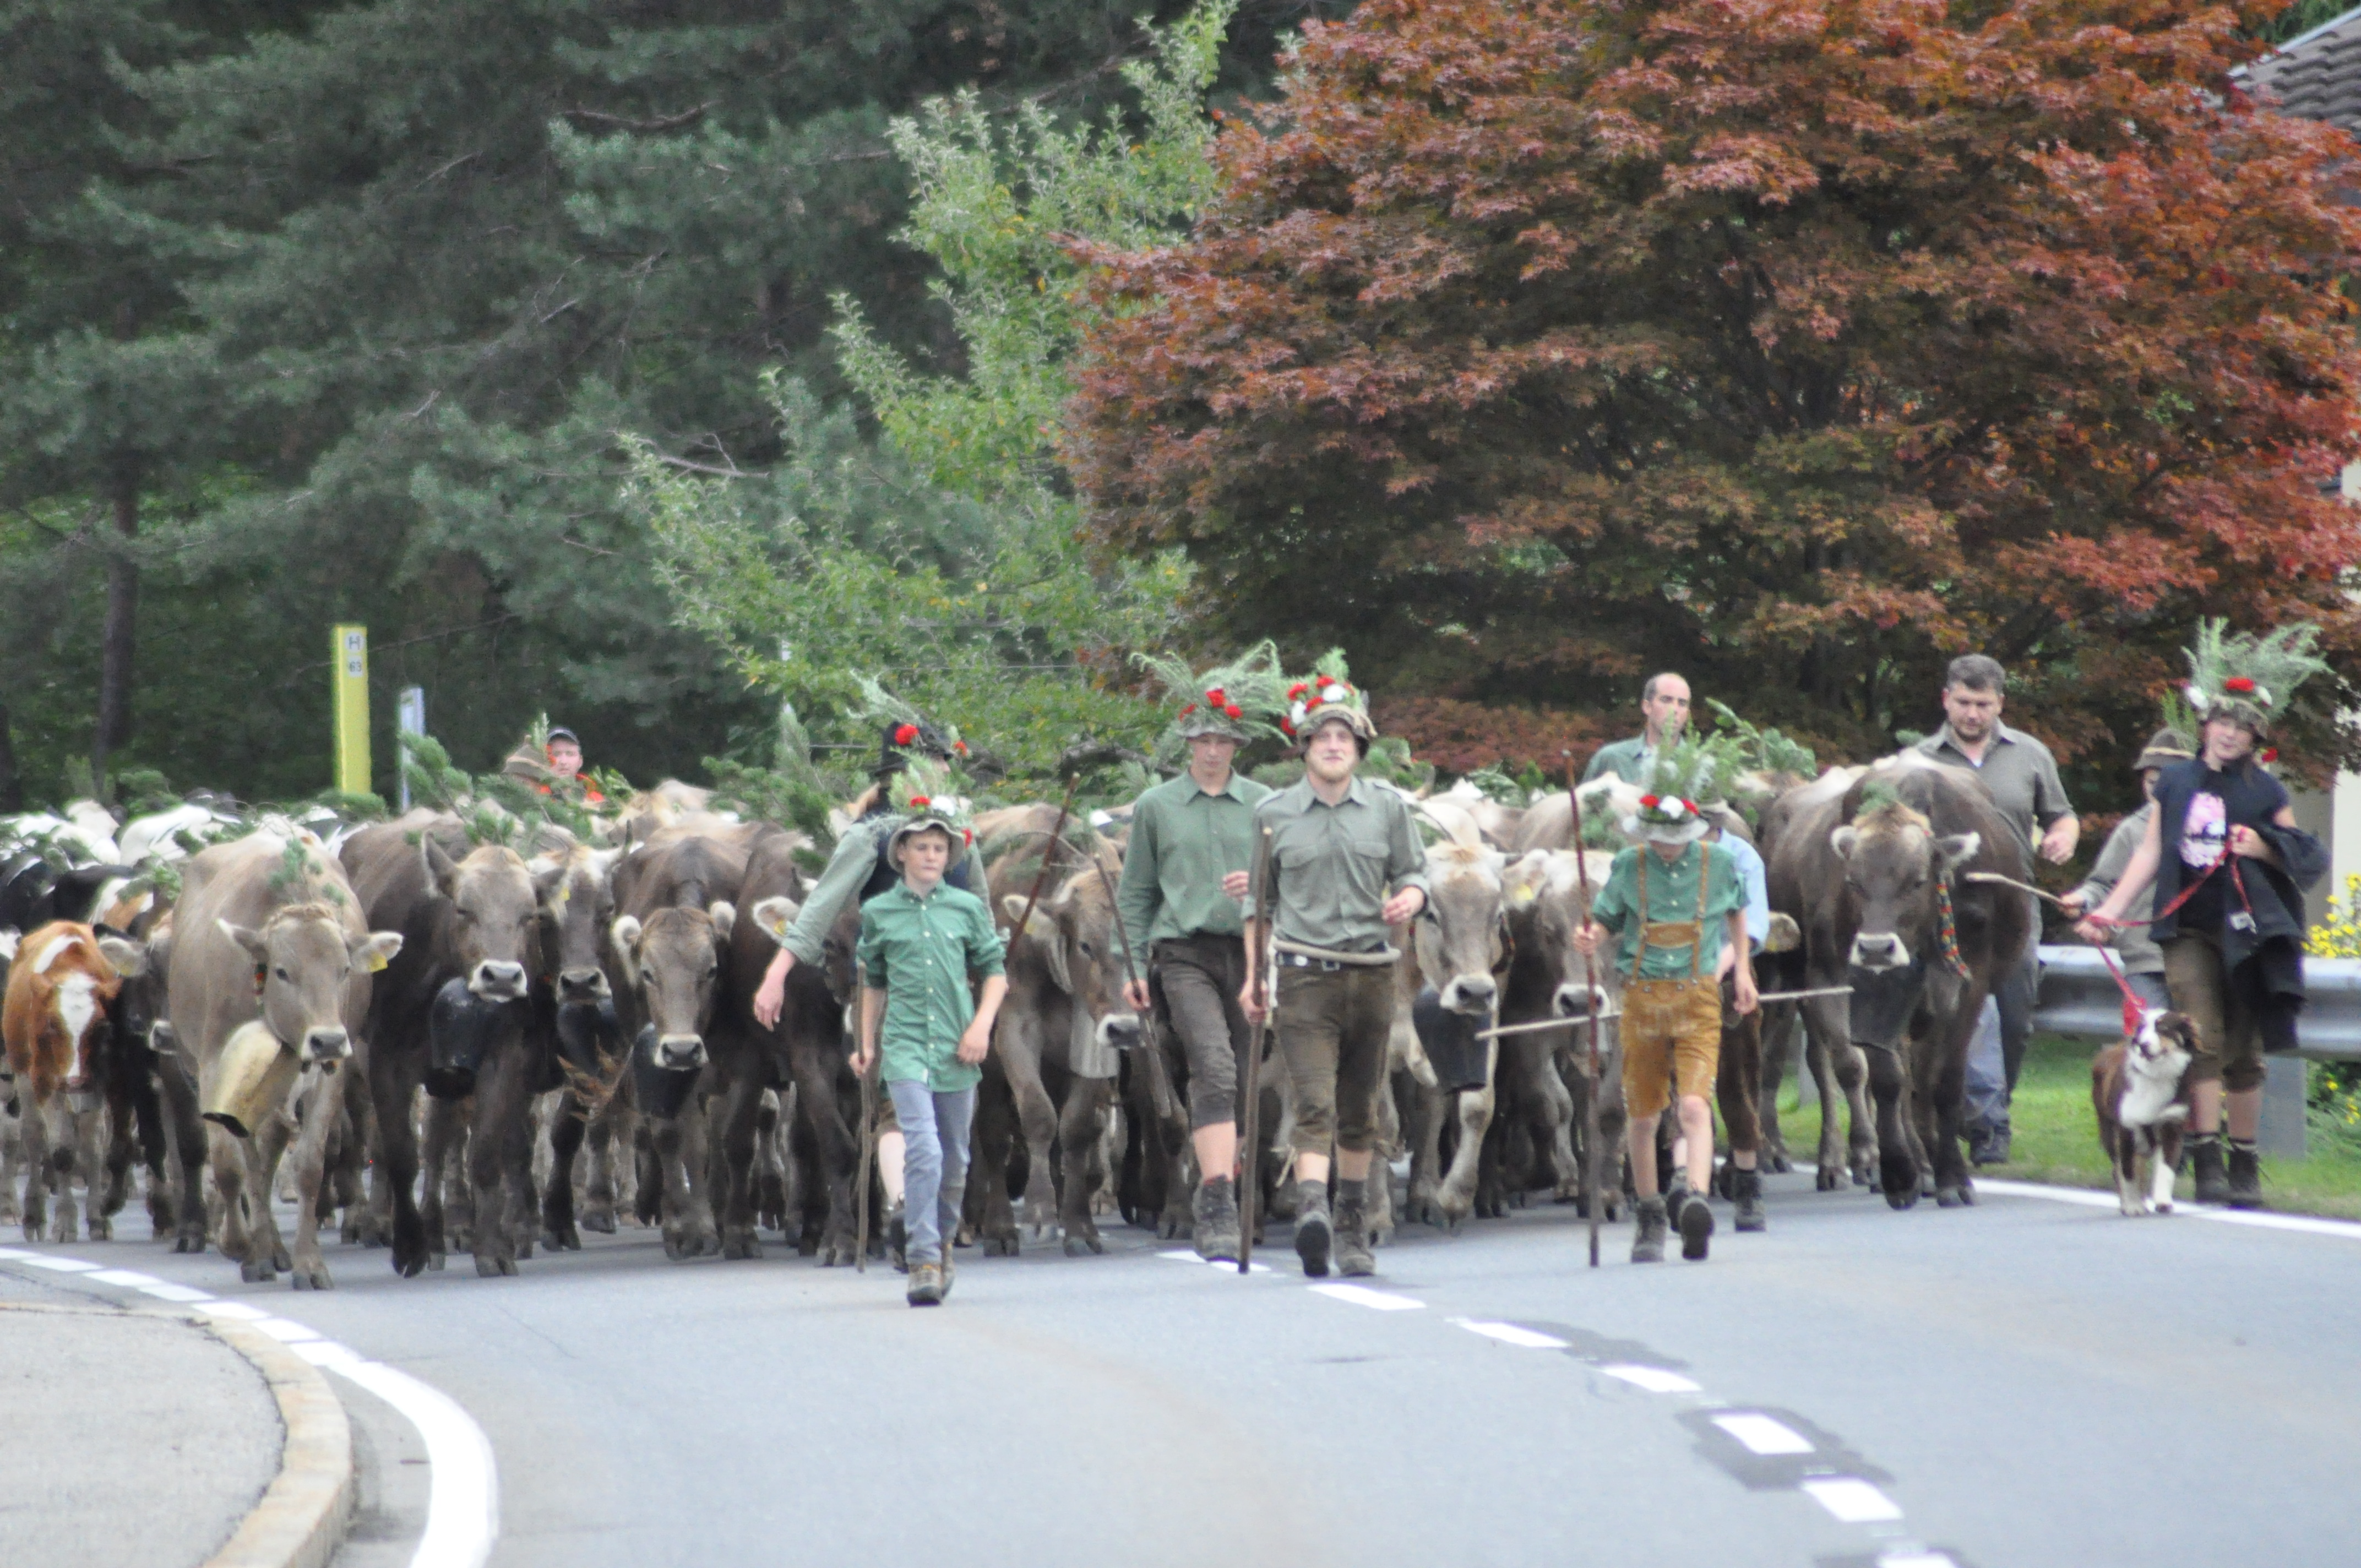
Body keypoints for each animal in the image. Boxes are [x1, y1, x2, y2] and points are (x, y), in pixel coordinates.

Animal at [2, 921, 149, 1242]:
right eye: (52, 1026)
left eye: (101, 1027)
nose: (74, 1079)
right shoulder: (46, 1081)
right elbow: (62, 1151)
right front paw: (65, 1221)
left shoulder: (105, 1079)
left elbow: (96, 1146)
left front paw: (98, 1218)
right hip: (23, 1077)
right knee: (33, 1136)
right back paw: (33, 1214)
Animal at [168, 832, 402, 1287]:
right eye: (282, 971)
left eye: (345, 970)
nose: (328, 1040)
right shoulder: (214, 1069)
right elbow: (232, 1166)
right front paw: (242, 1247)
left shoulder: (329, 1076)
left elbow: (307, 1164)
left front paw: (309, 1264)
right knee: (251, 1161)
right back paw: (260, 1248)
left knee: (270, 1150)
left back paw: (275, 1248)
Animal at [343, 812, 539, 1277]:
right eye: (465, 909)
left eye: (529, 914)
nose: (502, 977)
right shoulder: (385, 1061)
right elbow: (399, 1153)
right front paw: (409, 1247)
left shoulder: (500, 1060)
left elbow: (482, 1153)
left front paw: (493, 1249)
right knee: (367, 1141)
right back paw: (376, 1223)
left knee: (438, 1143)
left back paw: (440, 1231)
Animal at [1767, 758, 2030, 1209]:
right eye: (1853, 881)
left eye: (1918, 880)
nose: (1876, 948)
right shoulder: (1835, 979)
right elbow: (1874, 1075)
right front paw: (1895, 1170)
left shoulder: (1969, 984)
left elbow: (1943, 1082)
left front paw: (1951, 1178)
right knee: (1829, 1065)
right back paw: (1846, 1161)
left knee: (1917, 1077)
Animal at [2091, 1009, 2199, 1217]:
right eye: (2141, 1029)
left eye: (2163, 1028)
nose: (2143, 1045)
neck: (2156, 1076)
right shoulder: (2126, 1129)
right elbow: (2128, 1173)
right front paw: (2133, 1206)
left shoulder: (2171, 1127)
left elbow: (2166, 1171)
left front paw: (2163, 1202)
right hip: (2108, 1130)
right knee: (2119, 1168)